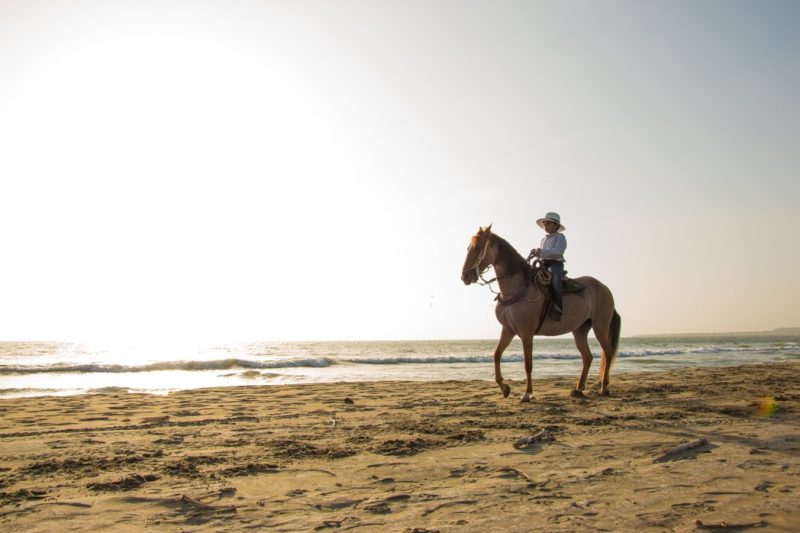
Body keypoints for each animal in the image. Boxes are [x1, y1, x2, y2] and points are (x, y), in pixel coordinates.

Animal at [460, 222, 620, 402]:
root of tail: (604, 288)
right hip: (580, 330)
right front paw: (504, 388)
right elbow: (496, 355)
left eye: (478, 247)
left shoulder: (526, 333)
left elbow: (528, 363)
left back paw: (604, 387)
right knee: (587, 357)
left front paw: (527, 393)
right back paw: (578, 389)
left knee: (608, 352)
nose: (465, 276)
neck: (517, 289)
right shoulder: (508, 330)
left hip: (600, 327)